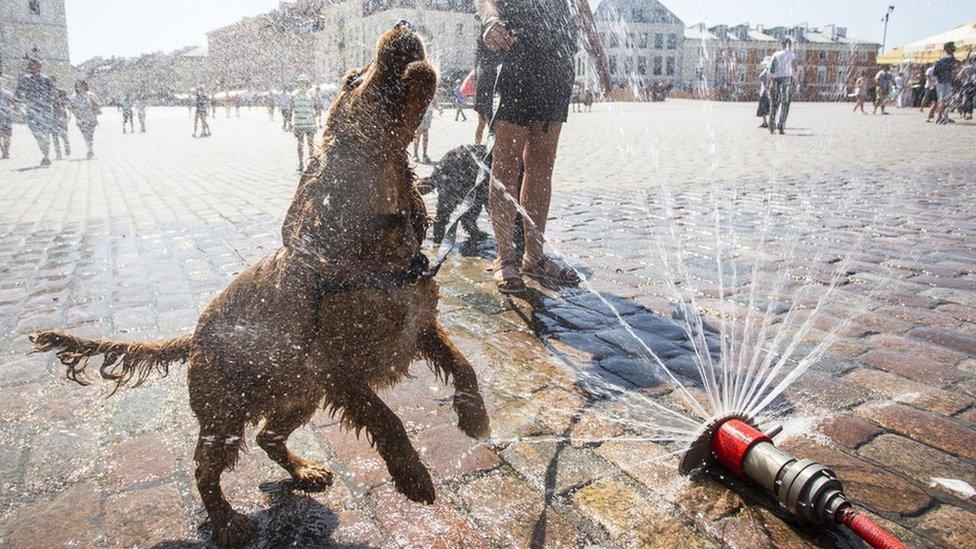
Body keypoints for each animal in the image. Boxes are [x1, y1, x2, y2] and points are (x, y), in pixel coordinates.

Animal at [30, 23, 488, 544]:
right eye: (352, 79)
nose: (404, 25)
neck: (374, 254)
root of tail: (193, 336)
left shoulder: (420, 325)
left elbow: (463, 364)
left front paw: (475, 417)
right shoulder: (338, 369)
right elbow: (386, 418)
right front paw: (413, 476)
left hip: (297, 395)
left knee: (268, 436)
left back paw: (306, 471)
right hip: (226, 413)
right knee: (204, 469)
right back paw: (229, 523)